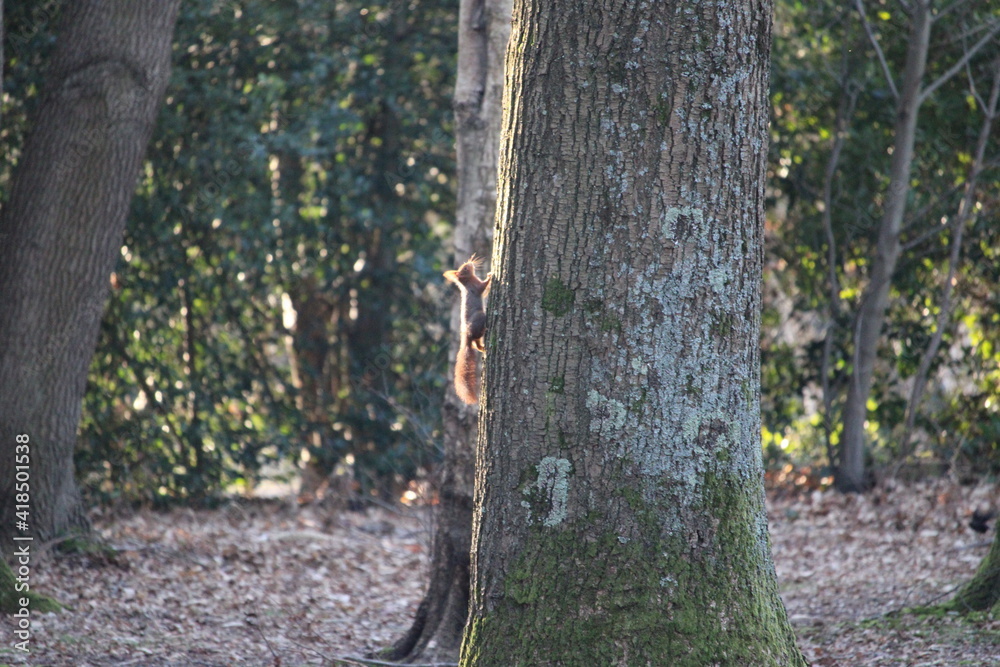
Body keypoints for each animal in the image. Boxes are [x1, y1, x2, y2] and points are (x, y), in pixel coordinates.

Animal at [446, 254, 492, 402]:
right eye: (465, 268)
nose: (470, 262)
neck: (466, 282)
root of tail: (466, 336)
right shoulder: (476, 286)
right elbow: (483, 286)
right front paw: (491, 275)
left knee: (476, 343)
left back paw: (482, 348)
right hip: (480, 317)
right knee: (476, 337)